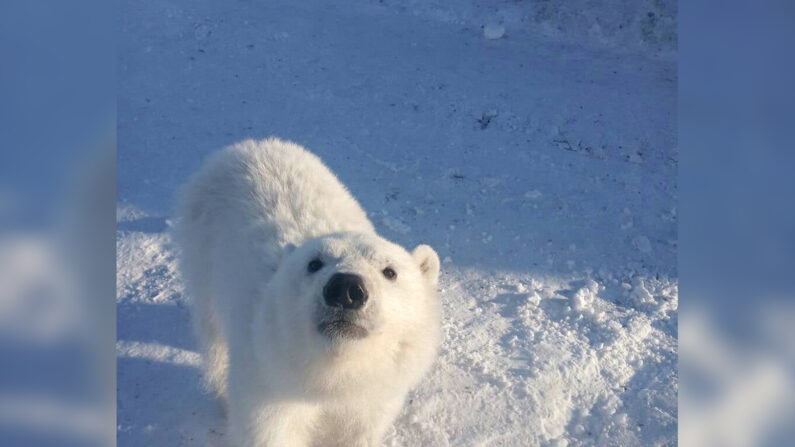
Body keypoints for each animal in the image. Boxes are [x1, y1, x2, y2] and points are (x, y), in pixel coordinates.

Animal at [175, 138, 444, 446]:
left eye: (390, 271)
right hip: (202, 252)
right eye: (313, 263)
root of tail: (245, 146)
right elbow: (271, 433)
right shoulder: (268, 384)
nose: (345, 289)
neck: (327, 378)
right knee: (213, 331)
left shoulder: (372, 398)